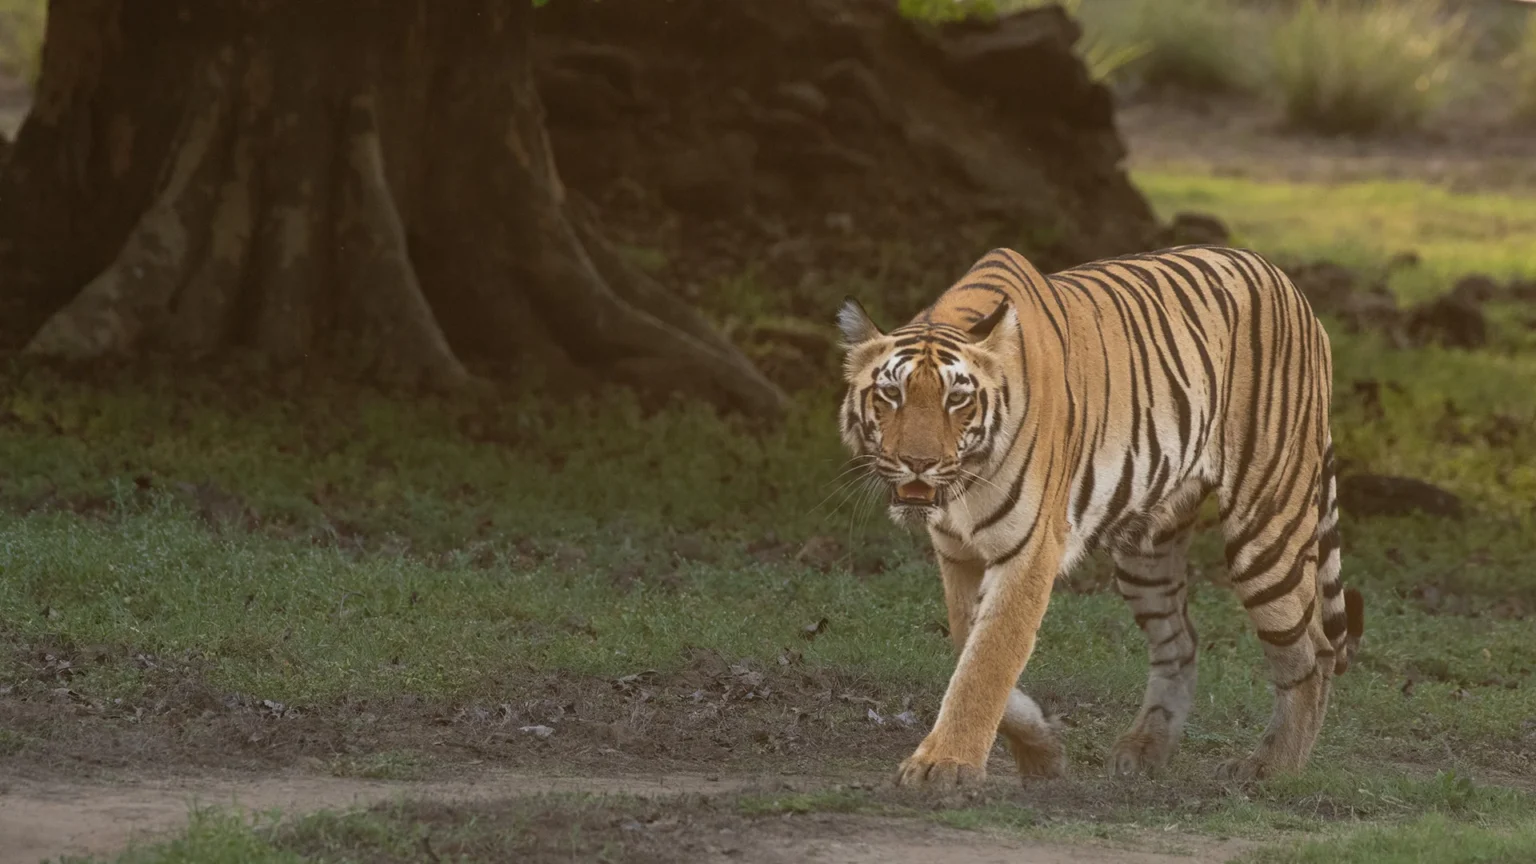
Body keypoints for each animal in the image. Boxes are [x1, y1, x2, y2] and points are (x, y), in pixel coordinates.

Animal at [836, 244, 1365, 787]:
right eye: (891, 394)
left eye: (956, 399)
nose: (917, 463)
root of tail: (1291, 286)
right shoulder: (957, 553)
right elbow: (970, 644)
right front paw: (1041, 751)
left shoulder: (1030, 550)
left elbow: (989, 659)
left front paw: (945, 765)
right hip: (1145, 551)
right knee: (1181, 642)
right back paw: (1144, 748)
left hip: (1265, 529)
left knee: (1313, 653)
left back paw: (1273, 767)